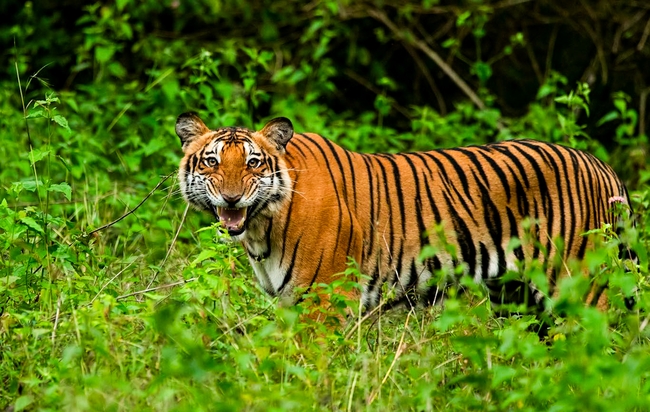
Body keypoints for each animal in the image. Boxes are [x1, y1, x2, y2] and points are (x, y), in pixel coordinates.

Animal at [175, 112, 634, 315]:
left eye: (253, 163)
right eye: (212, 162)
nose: (232, 198)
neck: (261, 226)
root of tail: (603, 166)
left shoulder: (325, 299)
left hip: (580, 287)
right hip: (515, 296)